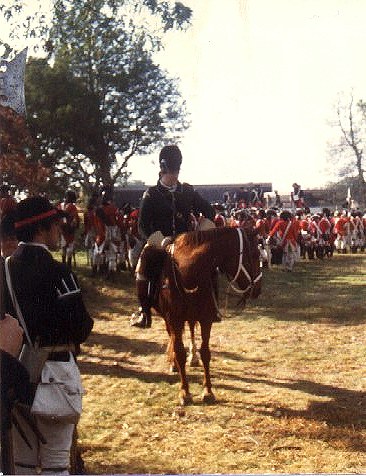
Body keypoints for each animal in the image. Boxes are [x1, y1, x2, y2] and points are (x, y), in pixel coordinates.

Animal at [144, 227, 262, 406]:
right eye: (255, 254)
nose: (258, 289)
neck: (187, 274)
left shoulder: (206, 319)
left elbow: (206, 352)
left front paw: (208, 391)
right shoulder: (174, 320)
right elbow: (179, 352)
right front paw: (185, 392)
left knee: (192, 330)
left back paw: (193, 357)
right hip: (168, 320)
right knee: (172, 337)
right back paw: (173, 363)